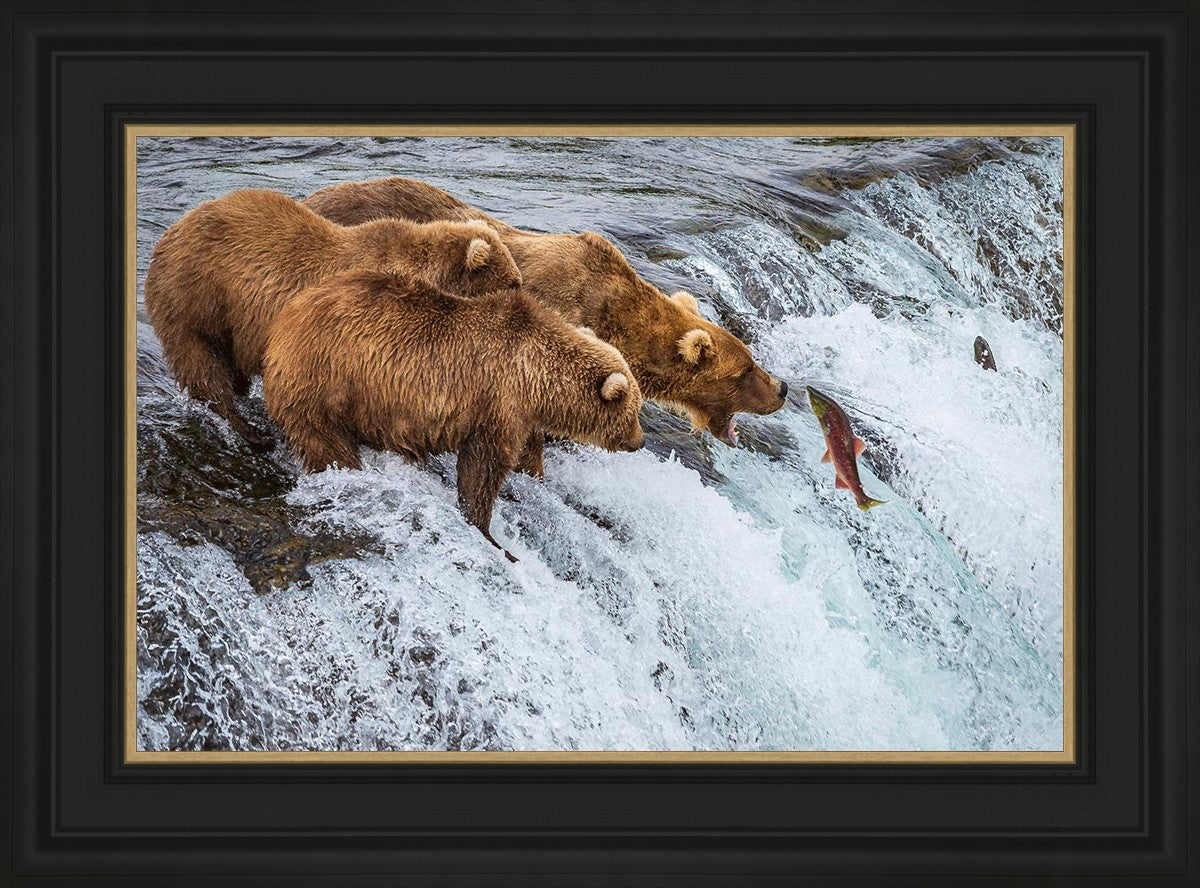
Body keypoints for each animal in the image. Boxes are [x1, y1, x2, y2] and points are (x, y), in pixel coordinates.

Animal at [144, 188, 523, 450]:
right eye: (513, 282)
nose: (524, 298)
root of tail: (171, 232)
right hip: (196, 297)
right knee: (202, 364)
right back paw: (250, 431)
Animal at [261, 269, 645, 560]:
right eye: (634, 411)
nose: (640, 441)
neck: (536, 377)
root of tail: (283, 321)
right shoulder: (497, 401)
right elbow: (483, 468)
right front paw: (489, 533)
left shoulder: (522, 416)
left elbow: (525, 456)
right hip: (325, 381)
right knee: (327, 443)